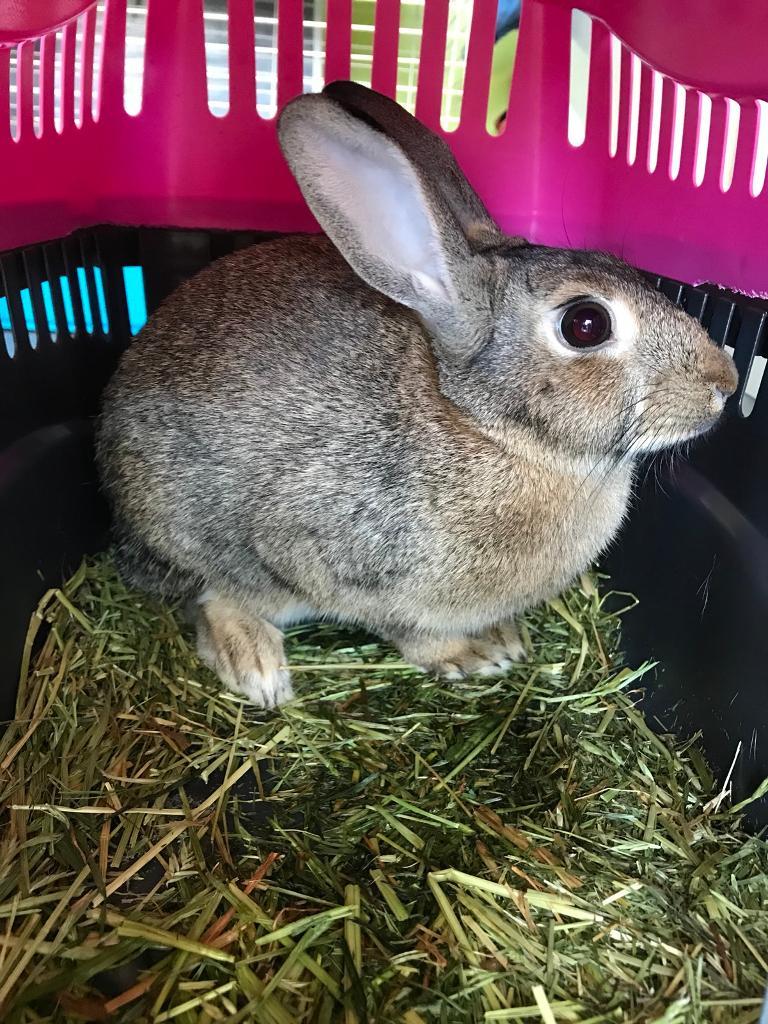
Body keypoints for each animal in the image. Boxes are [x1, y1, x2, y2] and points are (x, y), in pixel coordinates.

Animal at [96, 80, 738, 709]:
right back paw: (258, 671)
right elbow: (406, 630)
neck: (483, 423)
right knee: (211, 598)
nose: (725, 383)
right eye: (586, 325)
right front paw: (474, 655)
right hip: (203, 546)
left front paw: (506, 638)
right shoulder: (337, 561)